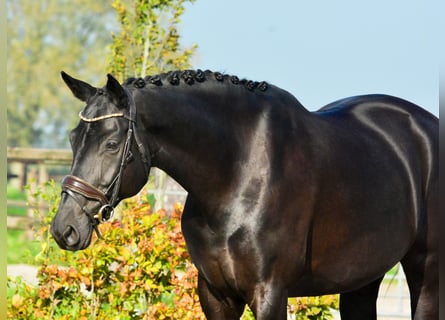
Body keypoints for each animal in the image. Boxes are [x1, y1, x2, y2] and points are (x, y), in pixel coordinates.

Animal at [51, 70, 438, 320]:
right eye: (72, 137)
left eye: (112, 144)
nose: (64, 228)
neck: (238, 172)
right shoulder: (215, 294)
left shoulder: (269, 293)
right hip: (362, 277)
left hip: (427, 267)